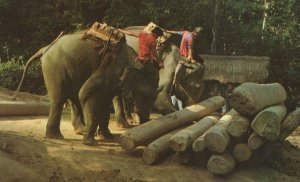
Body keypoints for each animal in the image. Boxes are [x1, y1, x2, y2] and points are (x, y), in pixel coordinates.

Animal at [14, 27, 161, 146]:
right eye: (148, 95)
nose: (145, 121)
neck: (136, 60)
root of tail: (46, 48)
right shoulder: (108, 68)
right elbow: (86, 93)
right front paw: (92, 142)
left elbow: (104, 101)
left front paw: (107, 136)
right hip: (55, 68)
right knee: (60, 99)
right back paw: (56, 136)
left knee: (72, 96)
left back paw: (80, 130)